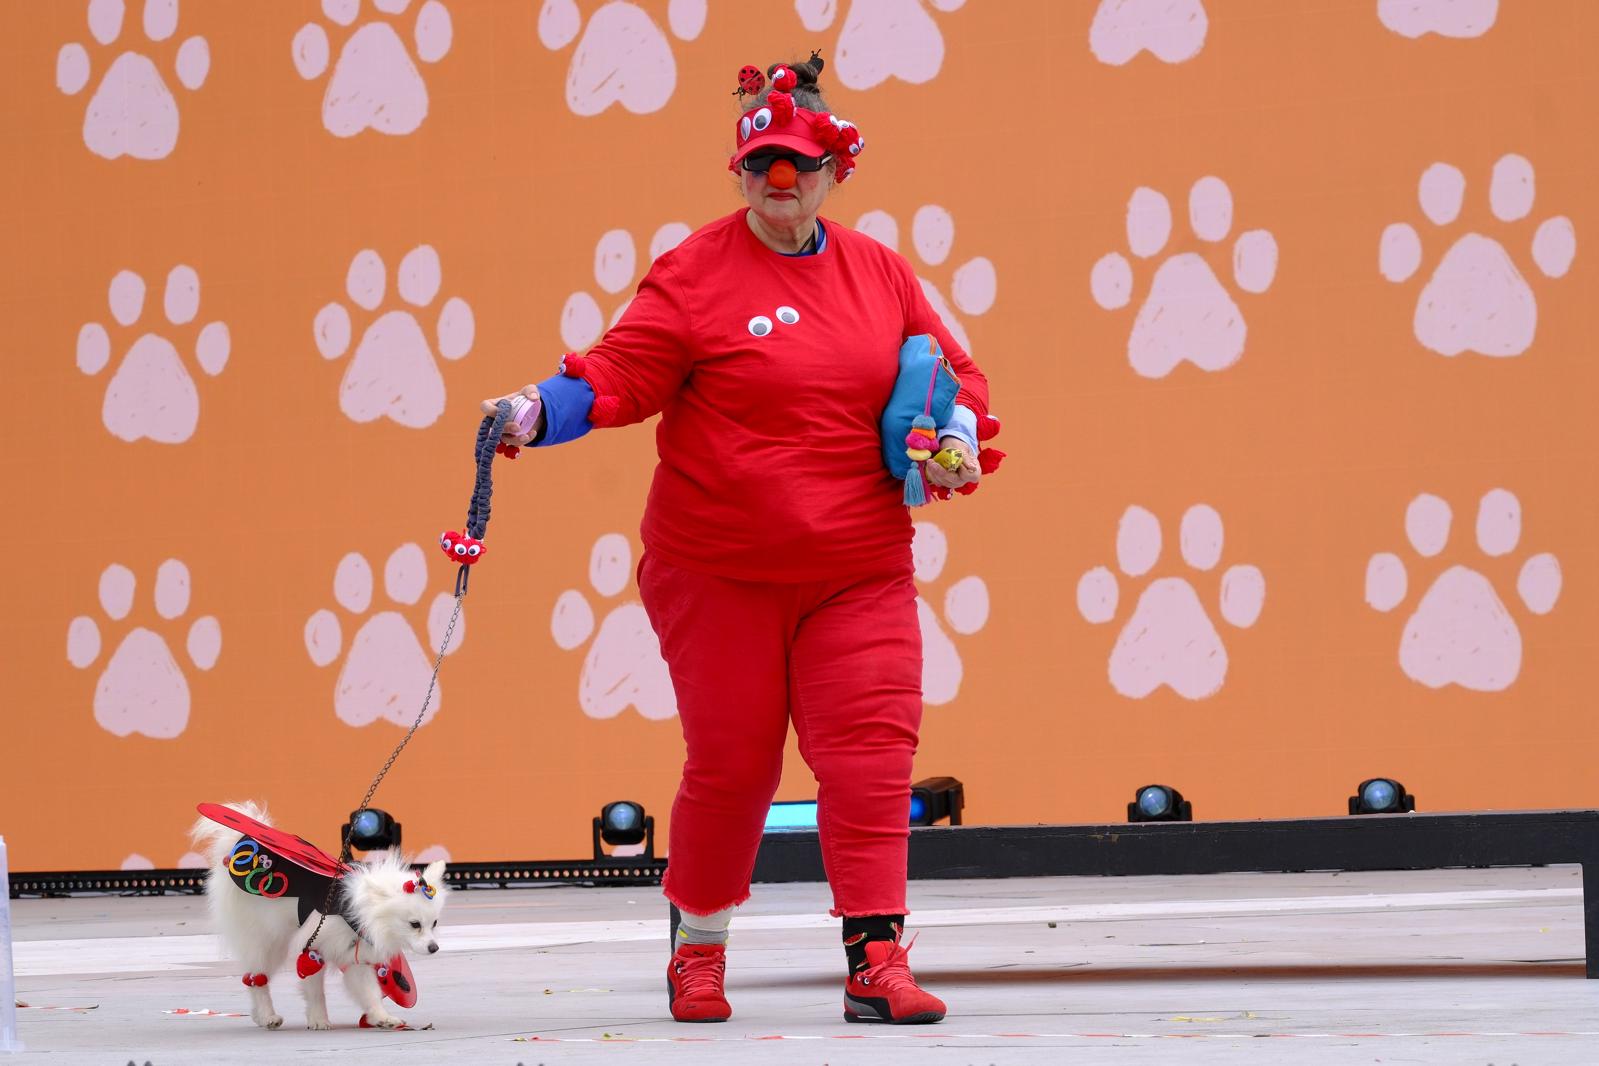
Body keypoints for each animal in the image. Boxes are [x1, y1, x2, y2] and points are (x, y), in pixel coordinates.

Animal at [191, 805, 450, 1029]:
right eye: (414, 924)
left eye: (434, 923)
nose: (434, 948)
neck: (354, 911)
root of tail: (236, 844)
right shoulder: (312, 947)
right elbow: (315, 991)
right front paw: (318, 1020)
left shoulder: (354, 956)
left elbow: (369, 992)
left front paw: (381, 1017)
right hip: (266, 940)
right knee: (257, 977)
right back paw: (267, 1016)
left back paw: (259, 1016)